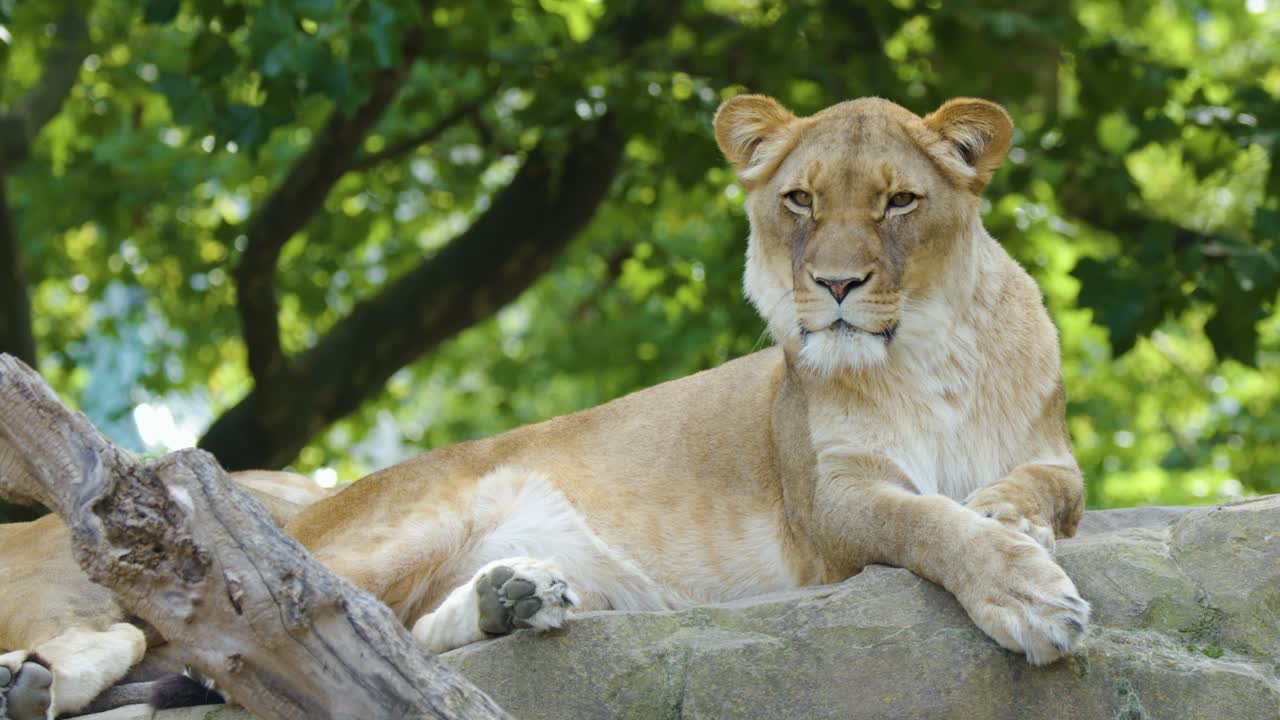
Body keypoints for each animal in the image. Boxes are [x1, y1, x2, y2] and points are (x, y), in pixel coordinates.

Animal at [0, 94, 1088, 719]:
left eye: (899, 202)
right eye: (799, 202)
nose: (834, 285)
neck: (928, 358)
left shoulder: (1055, 452)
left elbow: (1042, 491)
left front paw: (1010, 517)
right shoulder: (828, 503)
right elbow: (924, 519)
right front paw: (1029, 595)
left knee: (388, 638)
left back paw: (513, 596)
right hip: (386, 528)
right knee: (227, 623)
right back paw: (41, 677)